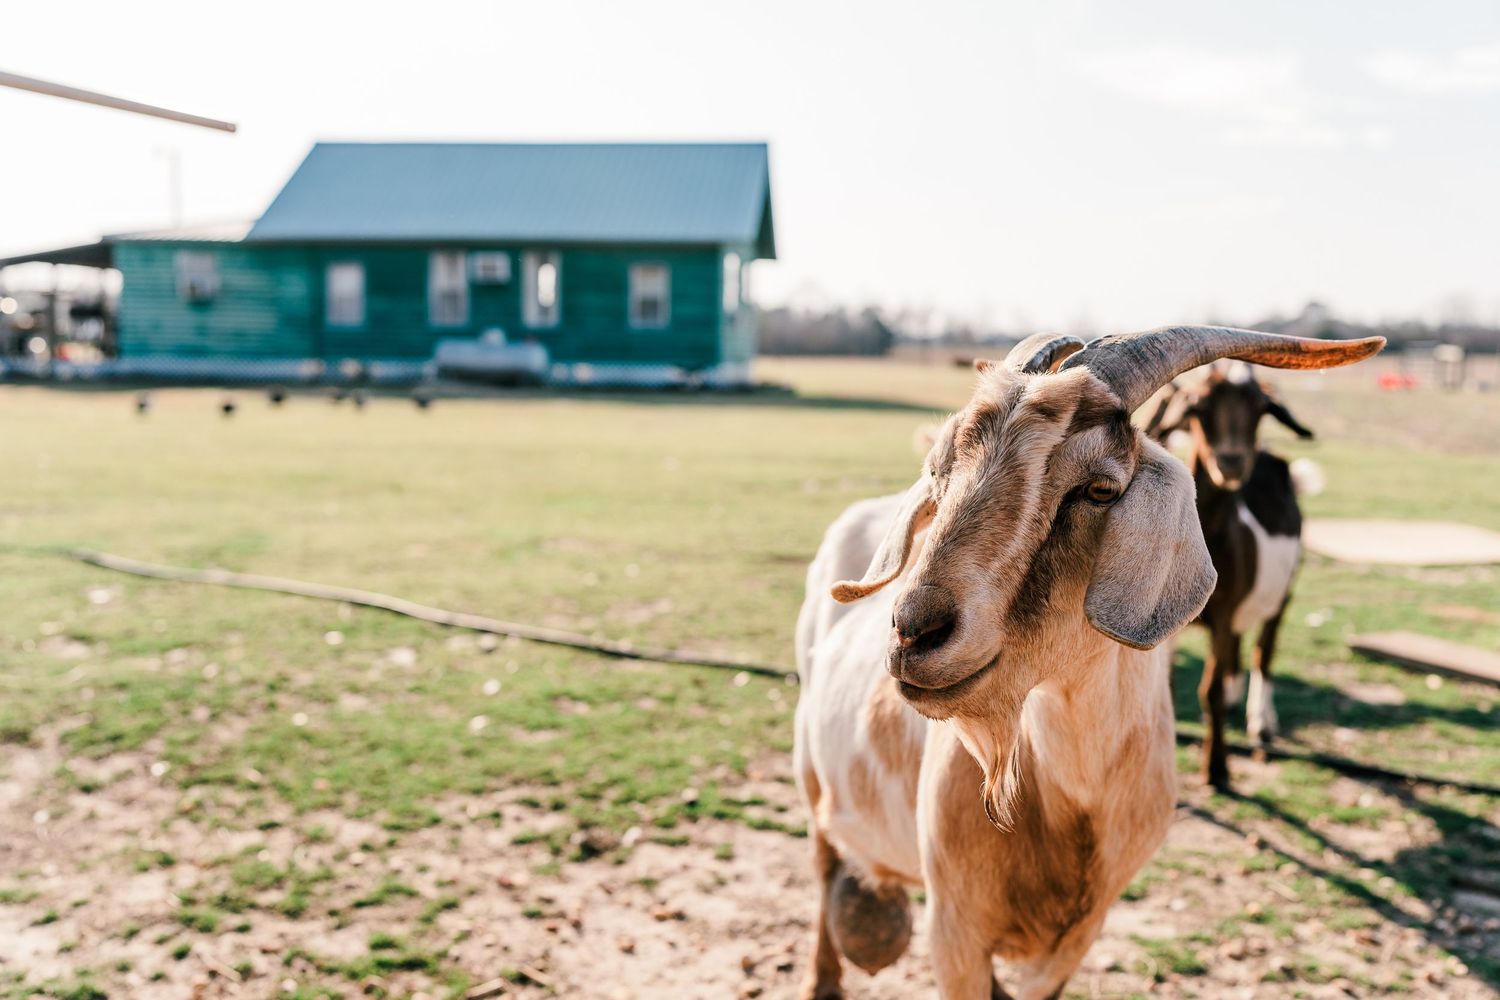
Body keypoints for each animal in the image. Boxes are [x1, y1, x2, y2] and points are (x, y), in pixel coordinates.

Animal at [1143, 364, 1317, 790]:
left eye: (1260, 408)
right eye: (1199, 406)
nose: (1232, 463)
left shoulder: (1222, 615)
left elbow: (1210, 691)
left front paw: (1217, 768)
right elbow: (1170, 688)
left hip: (1284, 591)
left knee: (1264, 650)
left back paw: (1261, 722)